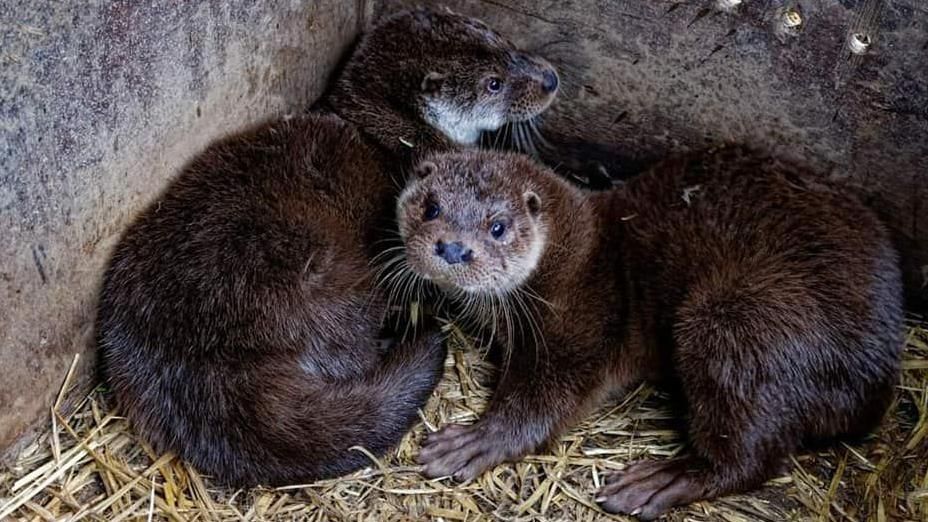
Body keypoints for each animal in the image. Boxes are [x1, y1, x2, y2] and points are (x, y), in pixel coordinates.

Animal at [96, 8, 560, 486]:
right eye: (493, 83)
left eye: (503, 40)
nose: (550, 78)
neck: (393, 128)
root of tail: (200, 363)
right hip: (324, 281)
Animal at [396, 148, 904, 516]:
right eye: (431, 206)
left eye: (498, 227)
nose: (455, 248)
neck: (570, 256)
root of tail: (876, 375)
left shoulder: (585, 316)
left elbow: (545, 400)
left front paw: (475, 441)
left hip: (733, 322)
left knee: (753, 454)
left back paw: (659, 481)